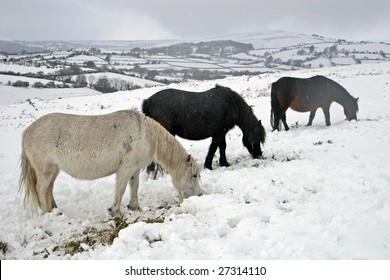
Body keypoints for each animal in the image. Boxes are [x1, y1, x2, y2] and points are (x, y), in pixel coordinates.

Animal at [17, 109, 201, 217]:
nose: (199, 195)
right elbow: (120, 189)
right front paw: (116, 212)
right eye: (194, 175)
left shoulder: (134, 168)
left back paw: (55, 210)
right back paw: (46, 213)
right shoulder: (125, 168)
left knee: (49, 190)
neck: (145, 135)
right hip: (45, 171)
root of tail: (28, 131)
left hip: (54, 170)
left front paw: (135, 207)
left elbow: (134, 187)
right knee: (41, 190)